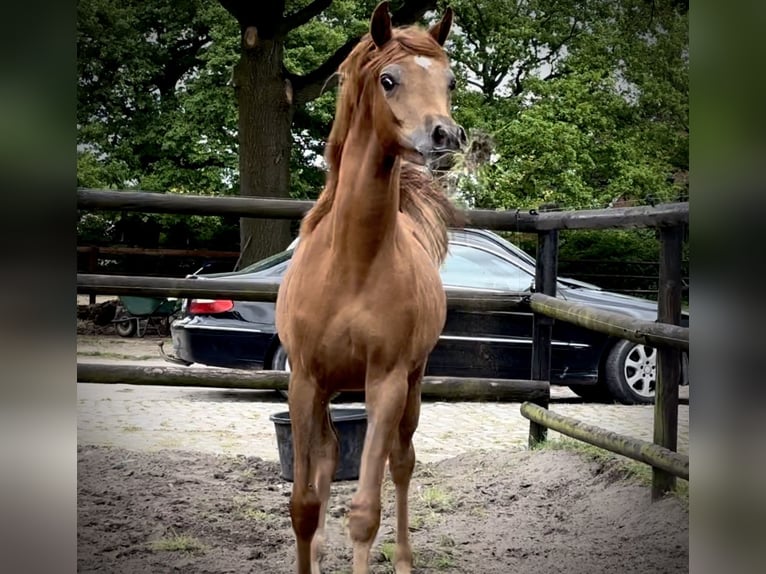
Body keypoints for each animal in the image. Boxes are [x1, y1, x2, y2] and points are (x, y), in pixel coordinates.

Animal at [278, 2, 464, 572]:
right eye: (388, 79)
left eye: (450, 81)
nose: (445, 137)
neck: (352, 265)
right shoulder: (304, 381)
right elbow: (304, 504)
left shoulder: (386, 382)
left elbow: (364, 511)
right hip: (330, 389)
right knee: (329, 456)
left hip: (413, 384)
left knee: (402, 462)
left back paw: (404, 559)